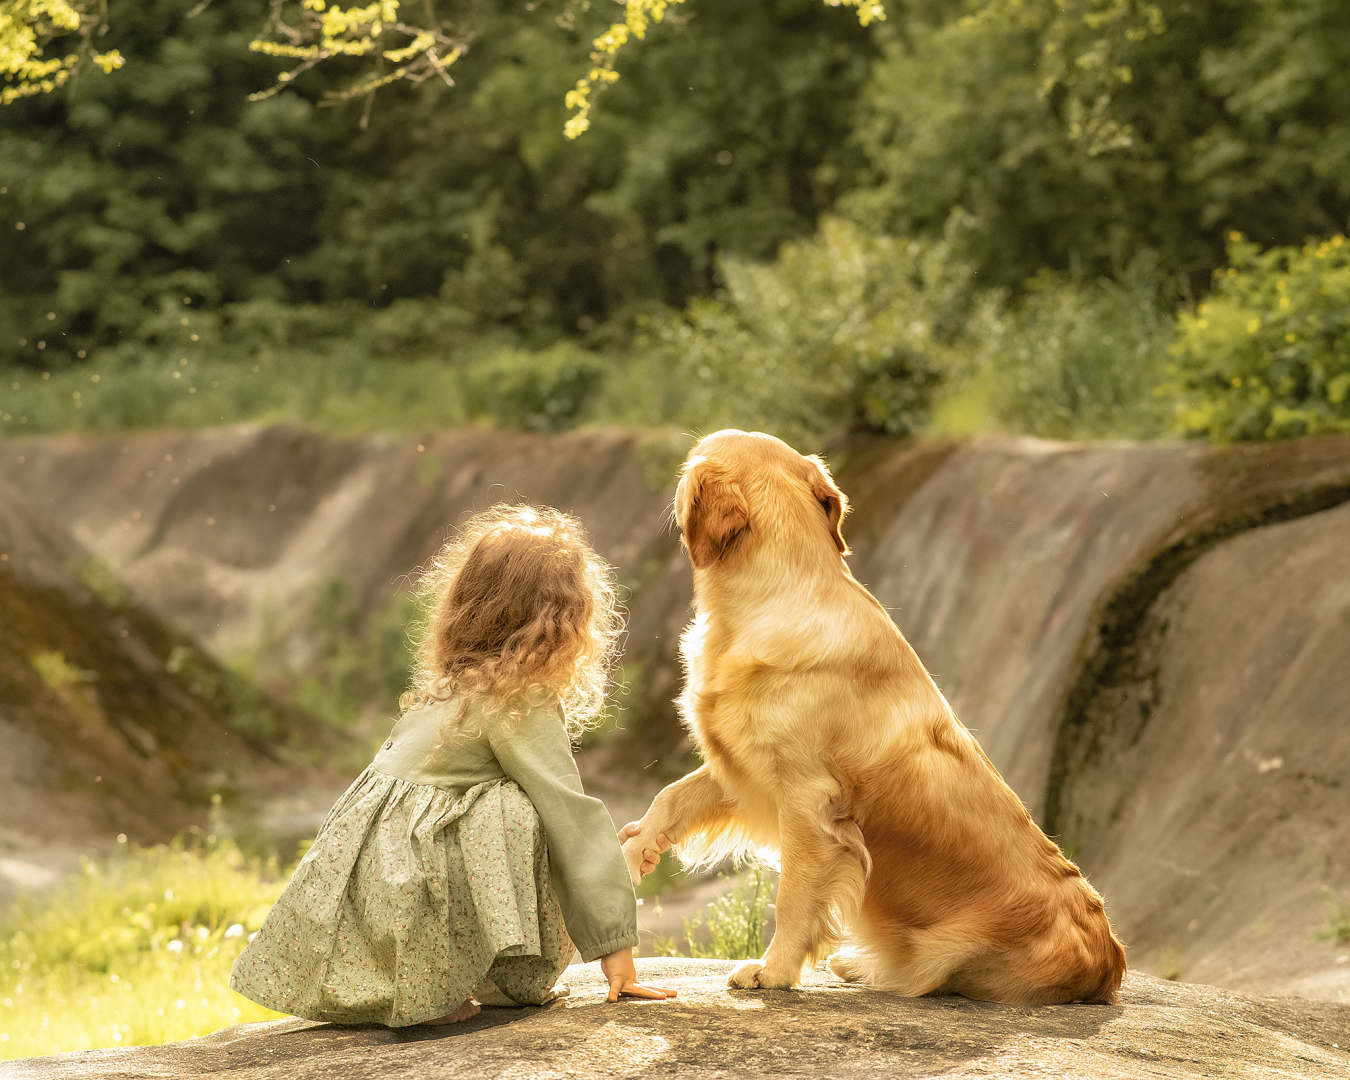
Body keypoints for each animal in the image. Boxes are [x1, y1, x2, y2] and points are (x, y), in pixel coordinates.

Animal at [621, 426, 1128, 999]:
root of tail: (1109, 962)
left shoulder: (807, 800)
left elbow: (792, 897)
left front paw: (774, 971)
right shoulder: (744, 765)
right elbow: (668, 797)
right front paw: (634, 854)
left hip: (948, 949)